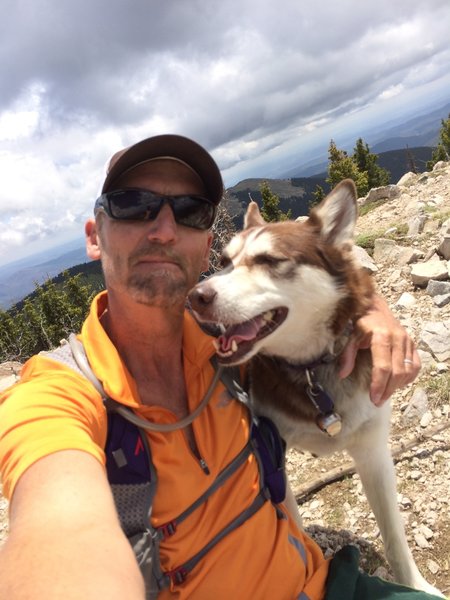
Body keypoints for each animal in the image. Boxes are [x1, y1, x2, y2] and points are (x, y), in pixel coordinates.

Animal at [189, 180, 442, 596]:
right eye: (224, 262)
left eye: (269, 260)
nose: (195, 297)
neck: (311, 372)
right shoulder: (271, 457)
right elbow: (291, 526)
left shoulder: (373, 449)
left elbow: (393, 533)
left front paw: (415, 583)